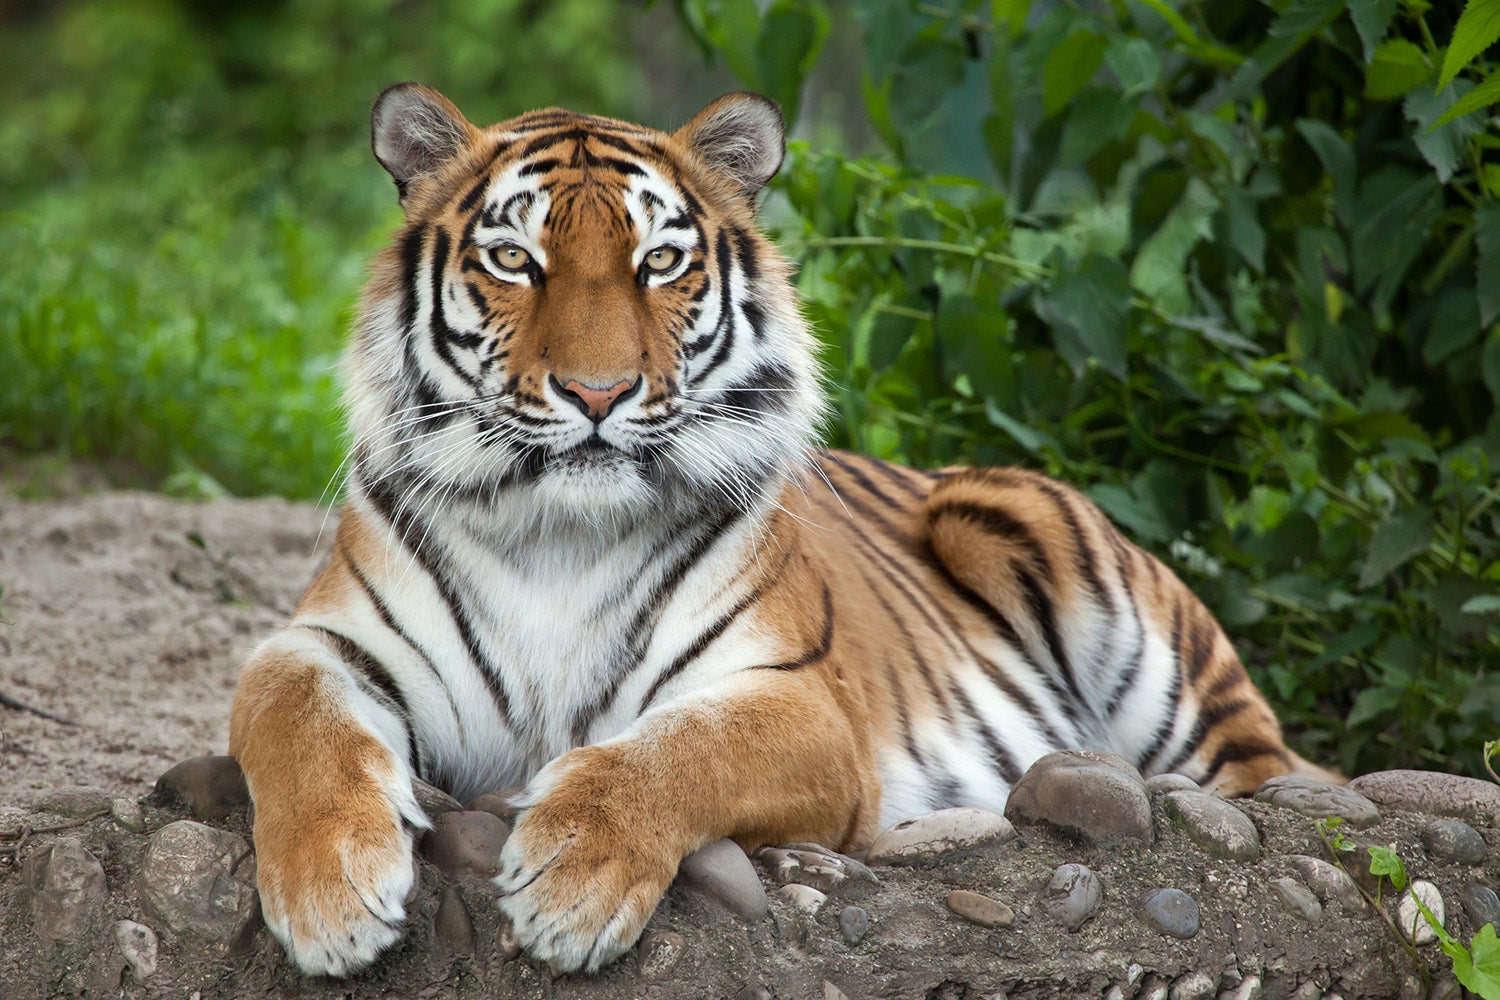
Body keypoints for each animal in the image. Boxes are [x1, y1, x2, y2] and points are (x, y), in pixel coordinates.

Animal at [227, 82, 1337, 978]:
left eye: (660, 263)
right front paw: (331, 896)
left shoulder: (800, 703)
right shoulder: (326, 642)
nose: (598, 392)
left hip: (1059, 562)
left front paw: (571, 879)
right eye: (513, 260)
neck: (557, 537)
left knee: (1272, 775)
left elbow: (674, 752)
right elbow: (294, 716)